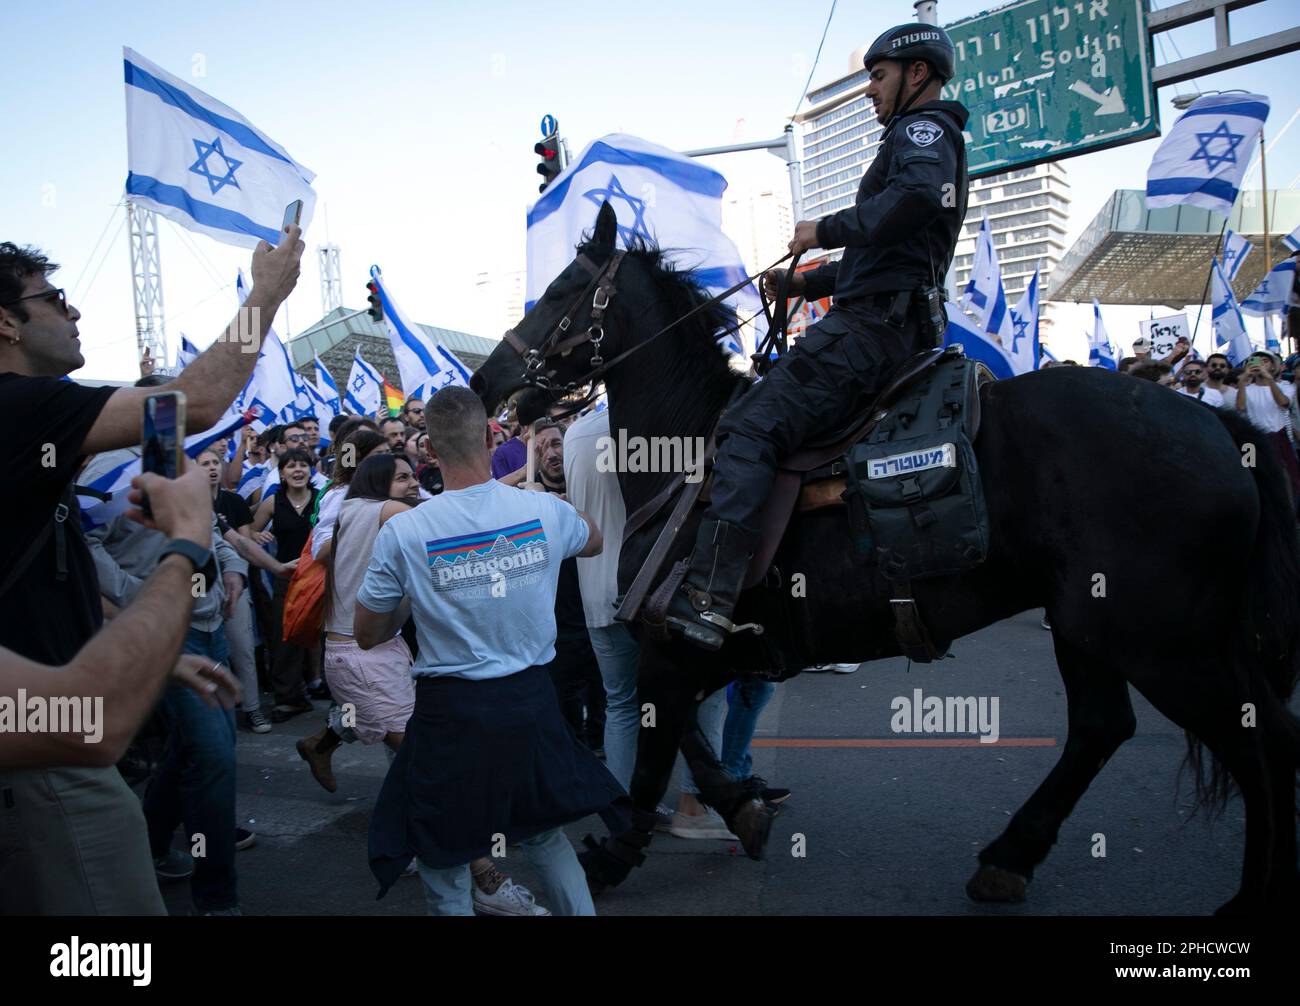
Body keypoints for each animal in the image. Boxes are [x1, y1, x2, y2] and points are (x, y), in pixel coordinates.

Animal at [475, 202, 1300, 915]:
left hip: (1157, 640)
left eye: (562, 290)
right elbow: (689, 745)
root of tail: (1220, 427)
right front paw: (741, 809)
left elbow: (653, 756)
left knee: (1256, 738)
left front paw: (615, 854)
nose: (485, 382)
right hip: (1093, 627)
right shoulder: (696, 649)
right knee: (1108, 727)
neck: (691, 447)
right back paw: (1011, 856)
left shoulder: (677, 644)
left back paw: (1249, 894)